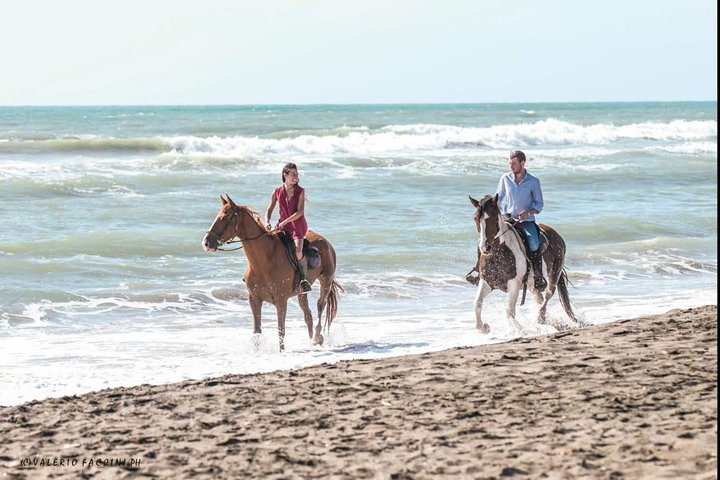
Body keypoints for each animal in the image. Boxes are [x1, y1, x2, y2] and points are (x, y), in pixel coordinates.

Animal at [200, 193, 340, 350]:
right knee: (308, 316)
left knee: (320, 305)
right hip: (302, 292)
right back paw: (311, 342)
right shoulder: (254, 299)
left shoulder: (281, 300)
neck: (263, 263)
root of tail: (325, 241)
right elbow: (257, 331)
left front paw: (281, 352)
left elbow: (281, 330)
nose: (206, 243)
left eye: (225, 218)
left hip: (326, 280)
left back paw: (317, 337)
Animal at [466, 194, 580, 334]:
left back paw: (540, 319)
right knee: (540, 299)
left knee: (548, 295)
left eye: (493, 218)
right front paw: (484, 328)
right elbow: (477, 303)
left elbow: (509, 312)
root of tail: (556, 235)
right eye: (475, 218)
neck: (499, 255)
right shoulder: (487, 281)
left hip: (554, 273)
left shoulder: (514, 283)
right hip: (532, 285)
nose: (484, 247)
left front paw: (523, 330)